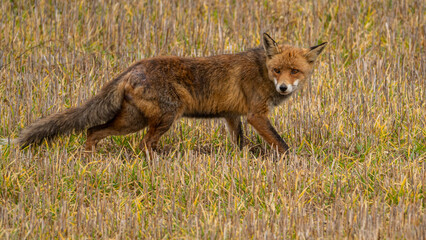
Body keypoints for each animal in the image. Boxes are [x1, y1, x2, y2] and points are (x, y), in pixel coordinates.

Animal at [13, 33, 326, 154]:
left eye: (295, 71)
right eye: (277, 70)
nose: (283, 87)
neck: (262, 71)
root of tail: (134, 67)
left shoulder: (232, 115)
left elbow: (240, 143)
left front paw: (243, 158)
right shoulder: (255, 115)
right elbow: (282, 144)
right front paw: (293, 162)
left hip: (131, 121)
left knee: (92, 130)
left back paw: (88, 159)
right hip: (164, 118)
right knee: (143, 144)